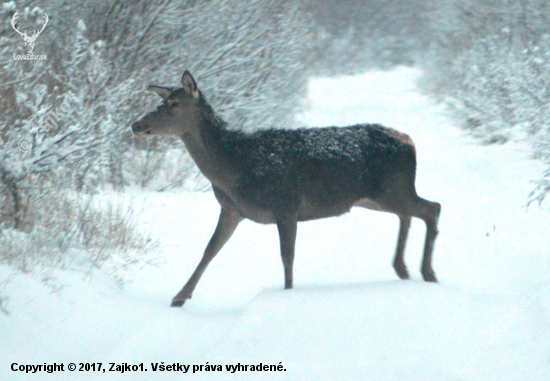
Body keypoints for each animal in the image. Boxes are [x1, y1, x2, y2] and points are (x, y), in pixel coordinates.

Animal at [132, 70, 442, 306]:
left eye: (174, 104)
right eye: (162, 101)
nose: (137, 124)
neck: (233, 169)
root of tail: (409, 141)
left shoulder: (286, 204)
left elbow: (287, 257)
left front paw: (288, 295)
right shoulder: (232, 209)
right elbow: (209, 249)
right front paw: (179, 297)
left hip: (391, 189)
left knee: (432, 208)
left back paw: (427, 272)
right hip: (378, 197)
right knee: (411, 213)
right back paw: (403, 268)